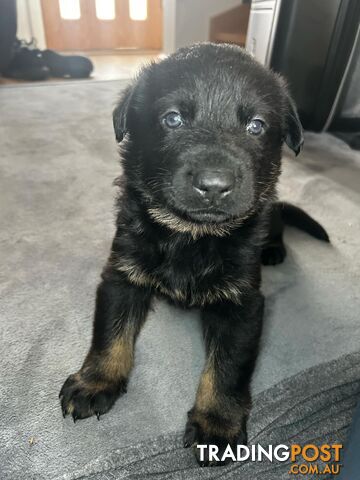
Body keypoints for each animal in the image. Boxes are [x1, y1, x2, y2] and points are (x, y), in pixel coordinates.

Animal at [59, 44, 330, 464]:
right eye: (172, 119)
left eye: (256, 126)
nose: (214, 185)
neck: (192, 234)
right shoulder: (122, 276)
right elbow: (109, 334)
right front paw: (96, 381)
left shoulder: (243, 305)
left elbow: (227, 367)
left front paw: (217, 424)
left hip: (272, 211)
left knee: (279, 223)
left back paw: (273, 249)